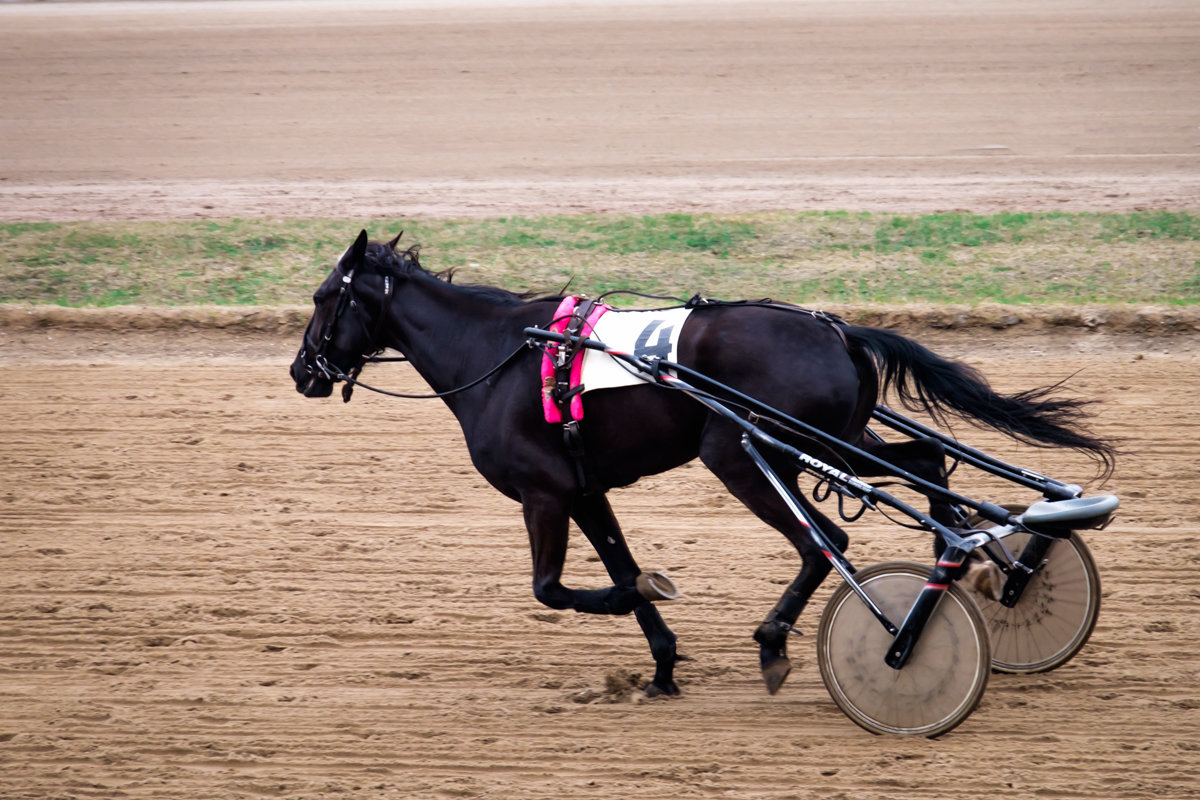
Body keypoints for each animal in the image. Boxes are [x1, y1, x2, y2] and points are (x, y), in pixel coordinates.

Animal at [290, 232, 1113, 700]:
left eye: (325, 296)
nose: (302, 371)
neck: (497, 355)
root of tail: (836, 329)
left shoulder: (543, 492)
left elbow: (555, 588)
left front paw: (649, 602)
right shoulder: (586, 489)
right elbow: (619, 570)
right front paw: (660, 668)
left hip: (746, 453)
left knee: (828, 543)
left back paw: (803, 638)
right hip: (835, 439)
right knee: (926, 458)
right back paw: (977, 560)